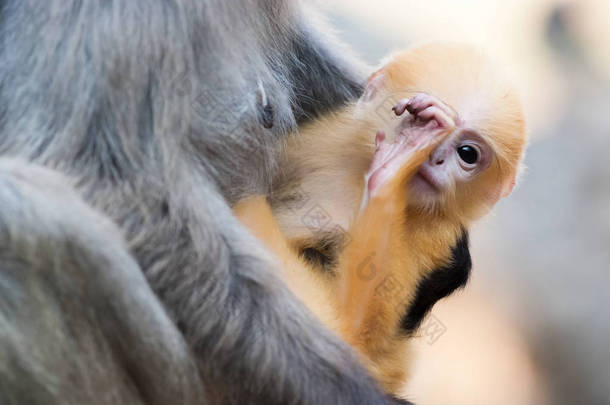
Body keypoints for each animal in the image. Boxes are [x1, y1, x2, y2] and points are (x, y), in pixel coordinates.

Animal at [232, 42, 524, 392]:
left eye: (467, 154)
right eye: (415, 119)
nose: (434, 157)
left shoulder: (439, 239)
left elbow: (348, 333)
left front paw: (391, 173)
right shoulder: (325, 141)